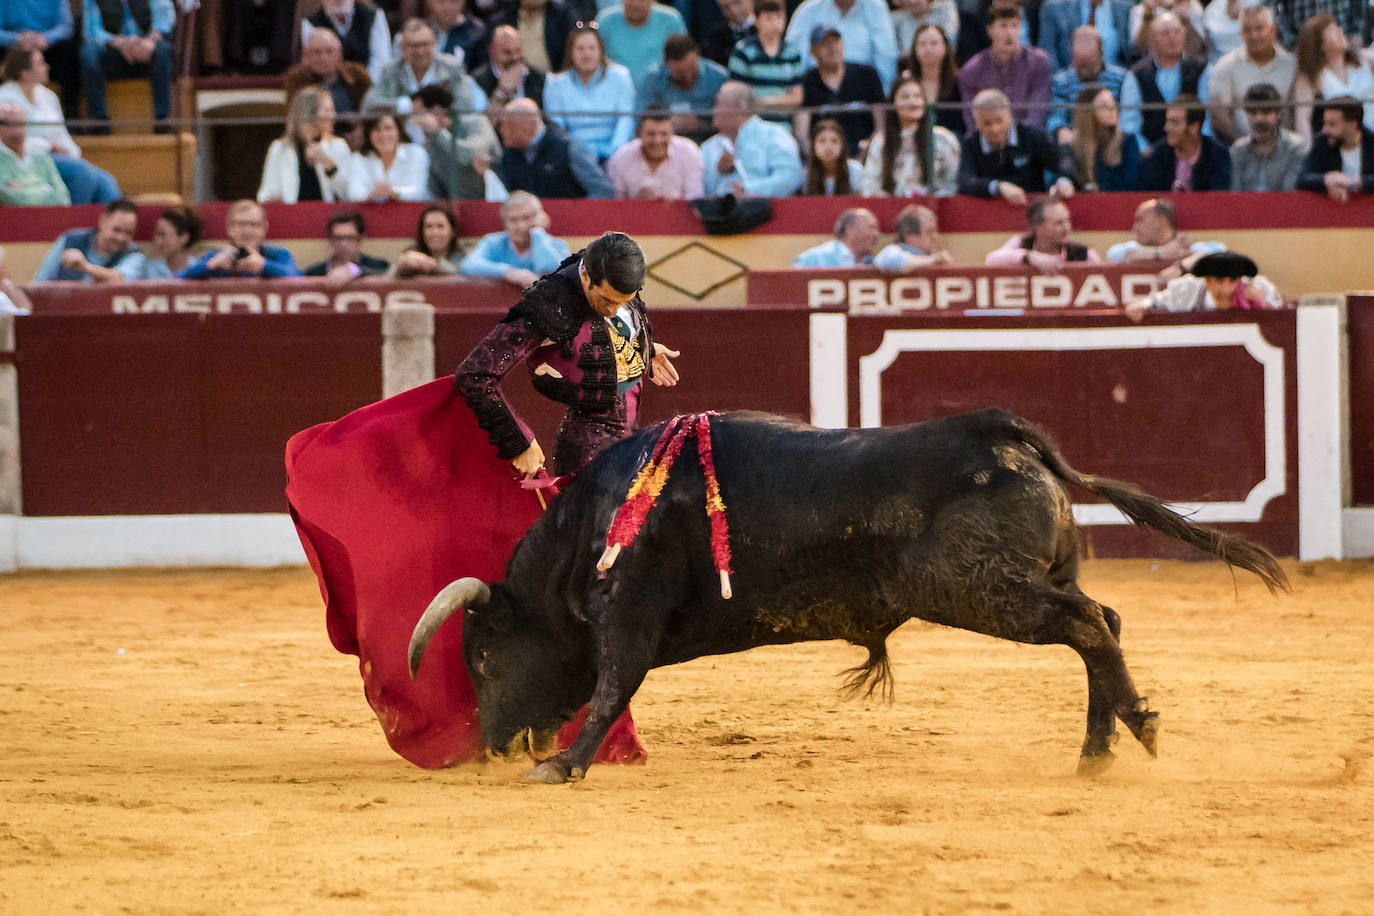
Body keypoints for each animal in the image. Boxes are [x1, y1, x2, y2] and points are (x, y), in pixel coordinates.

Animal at [406, 411, 1286, 785]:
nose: (487, 744)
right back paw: (1097, 750)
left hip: (983, 593)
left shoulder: (628, 615)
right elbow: (611, 688)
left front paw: (563, 765)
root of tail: (1001, 433)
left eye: (482, 655)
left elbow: (613, 685)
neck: (593, 522)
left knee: (1089, 624)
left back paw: (1131, 729)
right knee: (1101, 622)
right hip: (1030, 579)